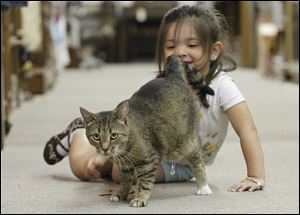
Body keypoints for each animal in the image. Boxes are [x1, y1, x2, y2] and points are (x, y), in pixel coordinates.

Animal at [79, 55, 211, 207]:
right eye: (96, 136)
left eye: (113, 135)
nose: (105, 148)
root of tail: (174, 76)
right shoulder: (124, 166)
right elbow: (125, 180)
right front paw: (121, 194)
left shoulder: (149, 161)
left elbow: (144, 183)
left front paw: (140, 198)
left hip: (185, 143)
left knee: (198, 159)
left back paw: (203, 186)